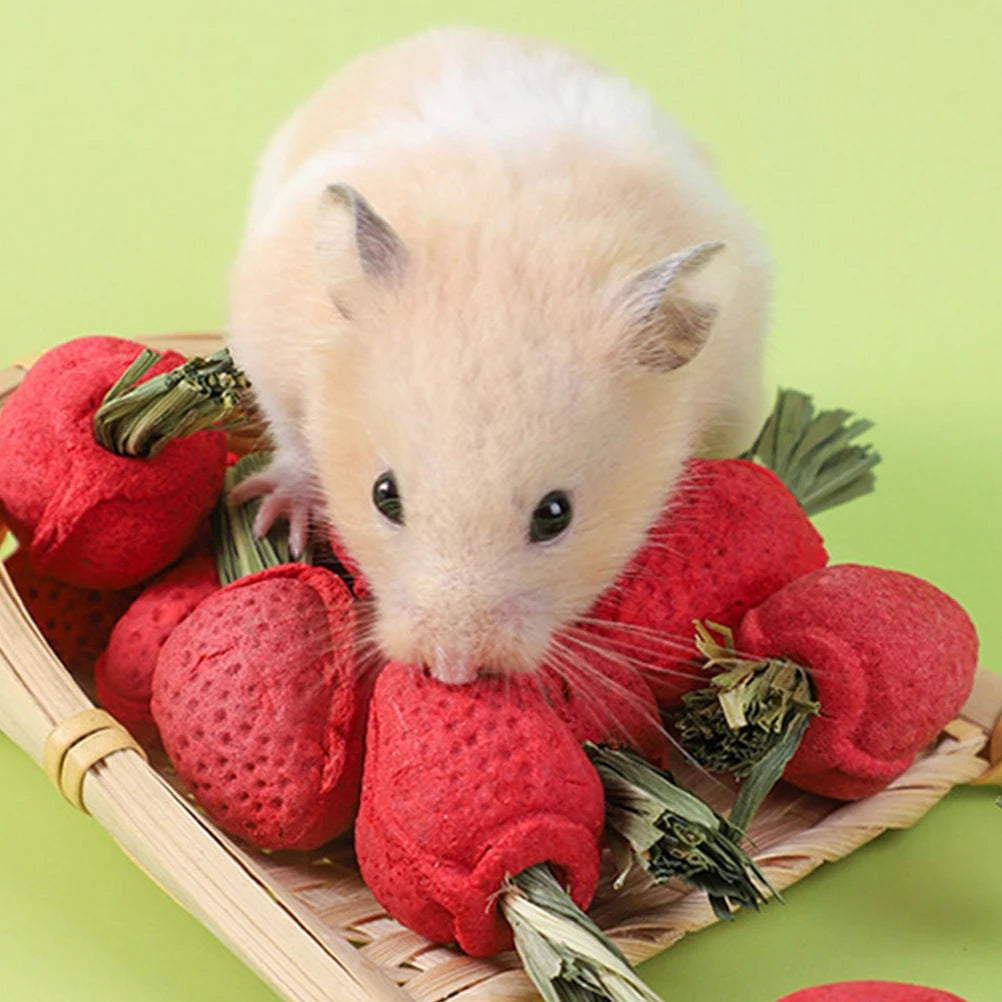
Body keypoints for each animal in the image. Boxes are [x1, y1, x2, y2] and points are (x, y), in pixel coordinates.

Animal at [226, 27, 771, 685]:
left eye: (555, 514)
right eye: (384, 495)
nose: (452, 670)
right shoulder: (269, 354)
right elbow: (292, 440)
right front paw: (272, 517)